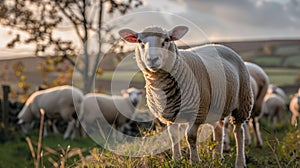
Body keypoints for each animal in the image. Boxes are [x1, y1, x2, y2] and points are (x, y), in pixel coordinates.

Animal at [119, 25, 253, 167]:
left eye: (167, 40)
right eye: (139, 41)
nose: (152, 59)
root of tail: (220, 45)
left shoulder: (196, 112)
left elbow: (191, 137)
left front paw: (194, 161)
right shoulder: (170, 115)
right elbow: (173, 137)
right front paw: (176, 159)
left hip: (243, 101)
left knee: (238, 132)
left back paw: (240, 161)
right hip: (216, 107)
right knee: (218, 130)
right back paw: (217, 157)